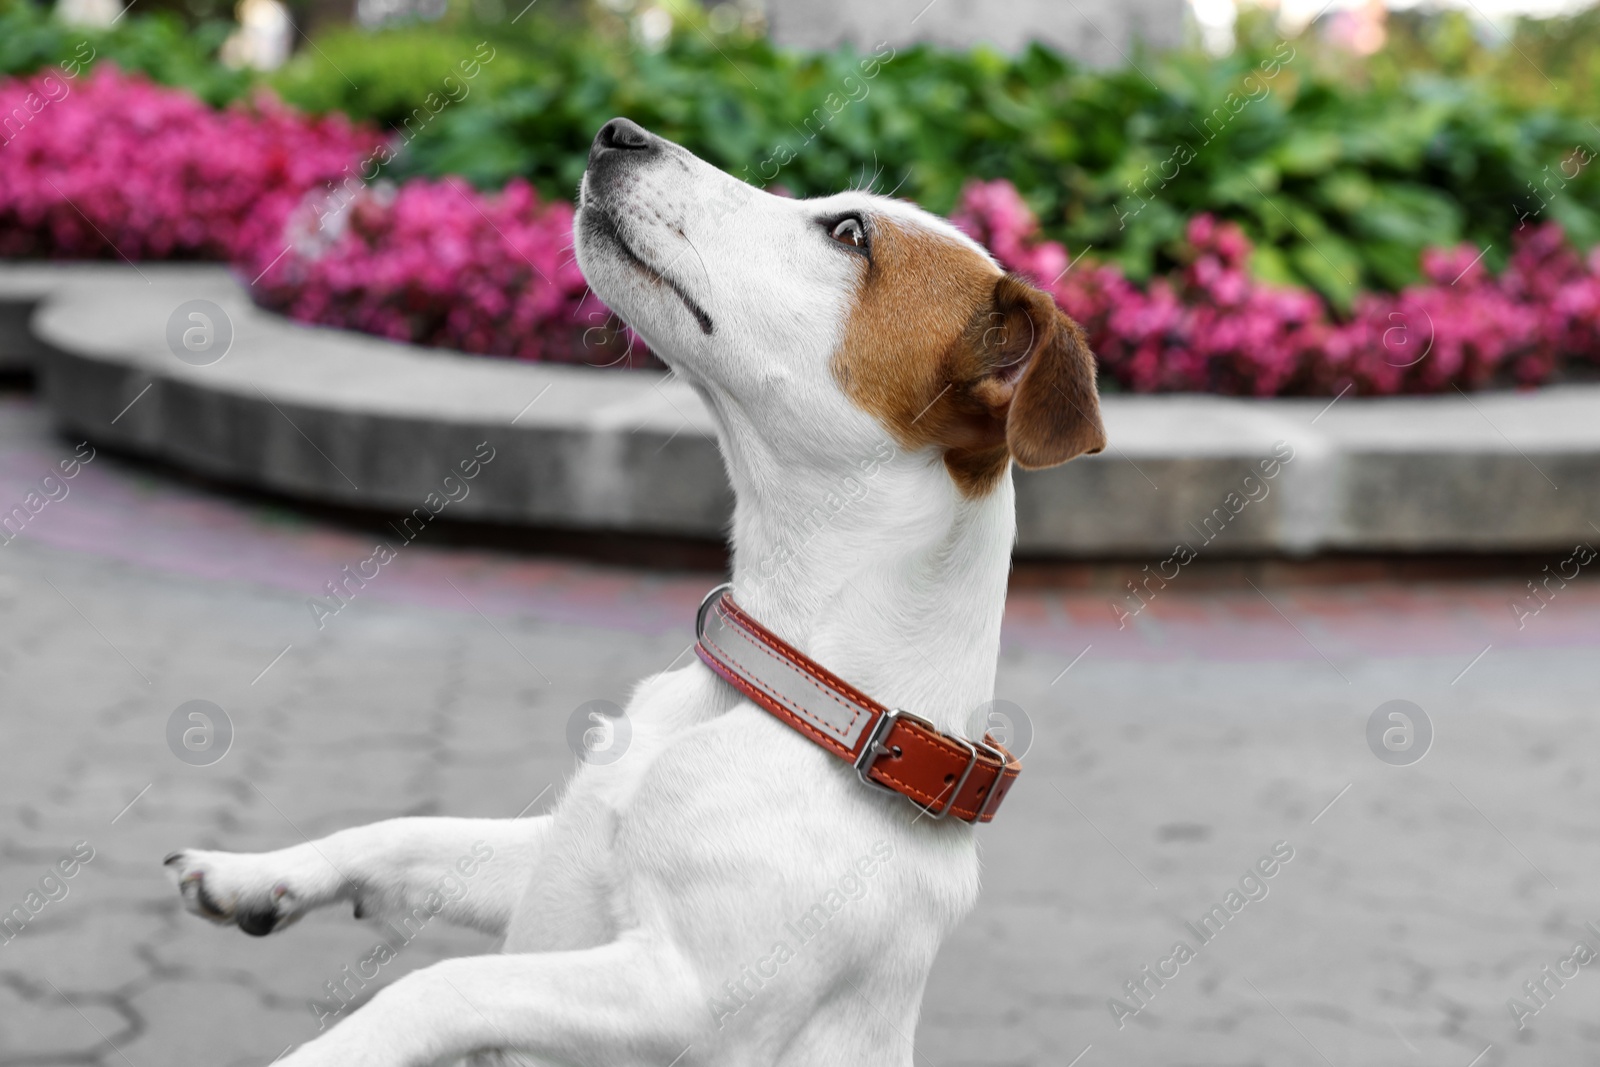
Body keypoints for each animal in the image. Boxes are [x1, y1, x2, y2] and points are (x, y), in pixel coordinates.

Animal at [168, 119, 1107, 1067]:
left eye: (849, 234)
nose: (620, 132)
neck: (805, 702)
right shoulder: (543, 863)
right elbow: (405, 832)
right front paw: (258, 873)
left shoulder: (683, 994)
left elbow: (444, 982)